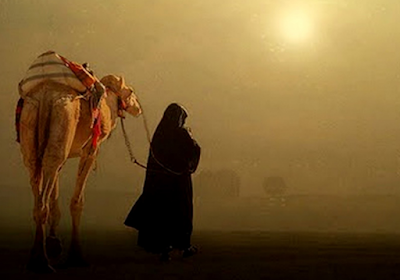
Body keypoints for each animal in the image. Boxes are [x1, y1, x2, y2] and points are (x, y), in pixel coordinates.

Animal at [17, 53, 142, 272]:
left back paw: (36, 255)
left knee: (38, 170)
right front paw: (76, 256)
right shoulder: (91, 148)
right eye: (132, 91)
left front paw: (54, 243)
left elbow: (55, 194)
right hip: (64, 113)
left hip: (31, 122)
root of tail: (46, 92)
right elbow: (77, 201)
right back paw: (41, 261)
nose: (139, 107)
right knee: (48, 174)